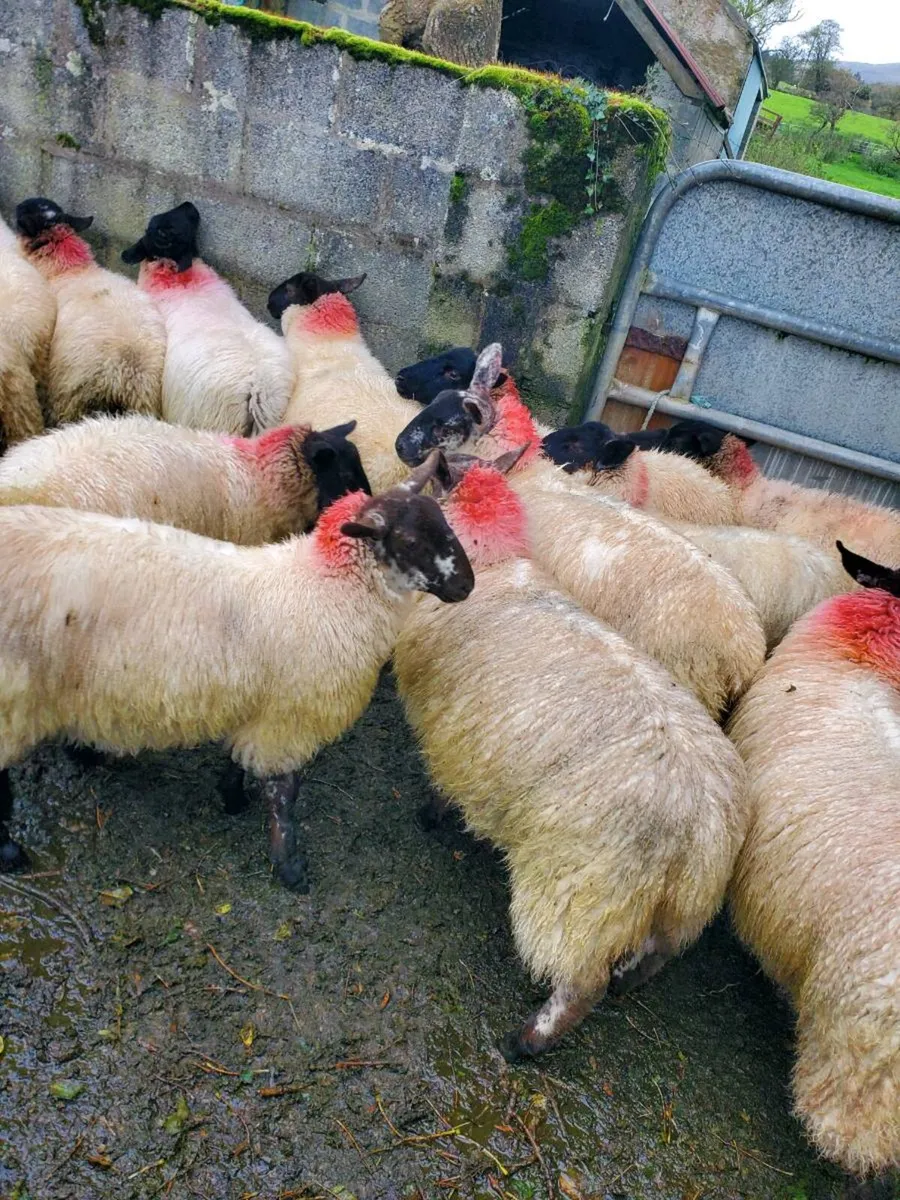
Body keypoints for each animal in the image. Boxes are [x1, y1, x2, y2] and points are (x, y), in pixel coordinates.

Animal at [0, 452, 473, 890]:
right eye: (408, 541)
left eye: (443, 521)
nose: (466, 584)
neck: (324, 590)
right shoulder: (289, 717)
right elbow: (284, 793)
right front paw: (289, 865)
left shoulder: (257, 704)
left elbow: (237, 755)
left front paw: (230, 795)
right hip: (13, 697)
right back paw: (11, 851)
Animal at [394, 454, 747, 1058]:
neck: (496, 564)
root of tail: (700, 829)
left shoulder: (452, 739)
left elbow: (443, 787)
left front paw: (430, 816)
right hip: (677, 911)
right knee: (653, 957)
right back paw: (629, 984)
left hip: (582, 891)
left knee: (582, 984)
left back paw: (528, 1041)